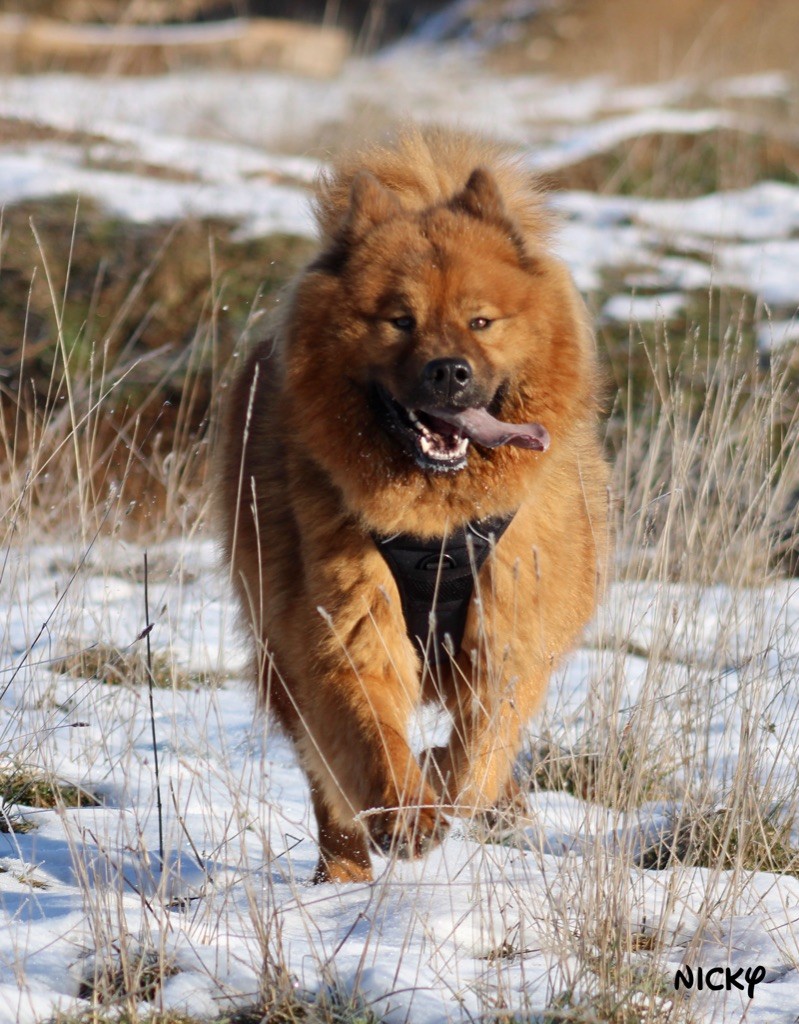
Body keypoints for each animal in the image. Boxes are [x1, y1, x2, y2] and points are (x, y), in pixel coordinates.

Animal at [215, 125, 610, 880]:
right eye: (399, 321)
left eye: (480, 321)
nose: (448, 371)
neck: (437, 523)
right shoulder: (346, 623)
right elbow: (373, 735)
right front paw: (406, 815)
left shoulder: (510, 629)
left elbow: (476, 751)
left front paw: (448, 789)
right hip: (281, 646)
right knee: (326, 782)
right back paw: (341, 875)